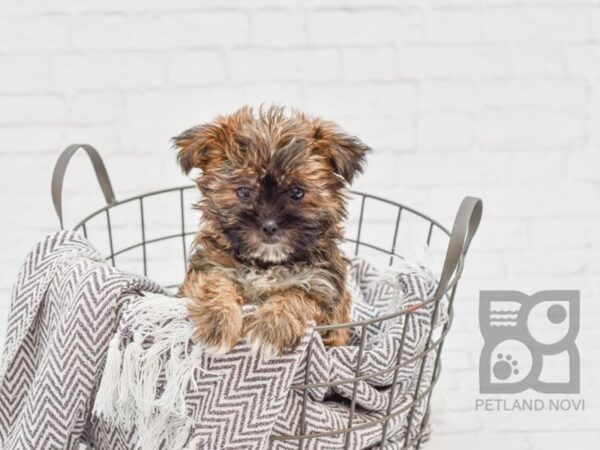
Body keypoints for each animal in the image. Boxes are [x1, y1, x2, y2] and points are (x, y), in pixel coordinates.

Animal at [173, 106, 370, 358]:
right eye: (244, 191)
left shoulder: (323, 294)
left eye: (297, 192)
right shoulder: (209, 268)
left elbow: (294, 297)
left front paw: (270, 326)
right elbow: (215, 284)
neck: (267, 264)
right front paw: (217, 322)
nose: (269, 225)